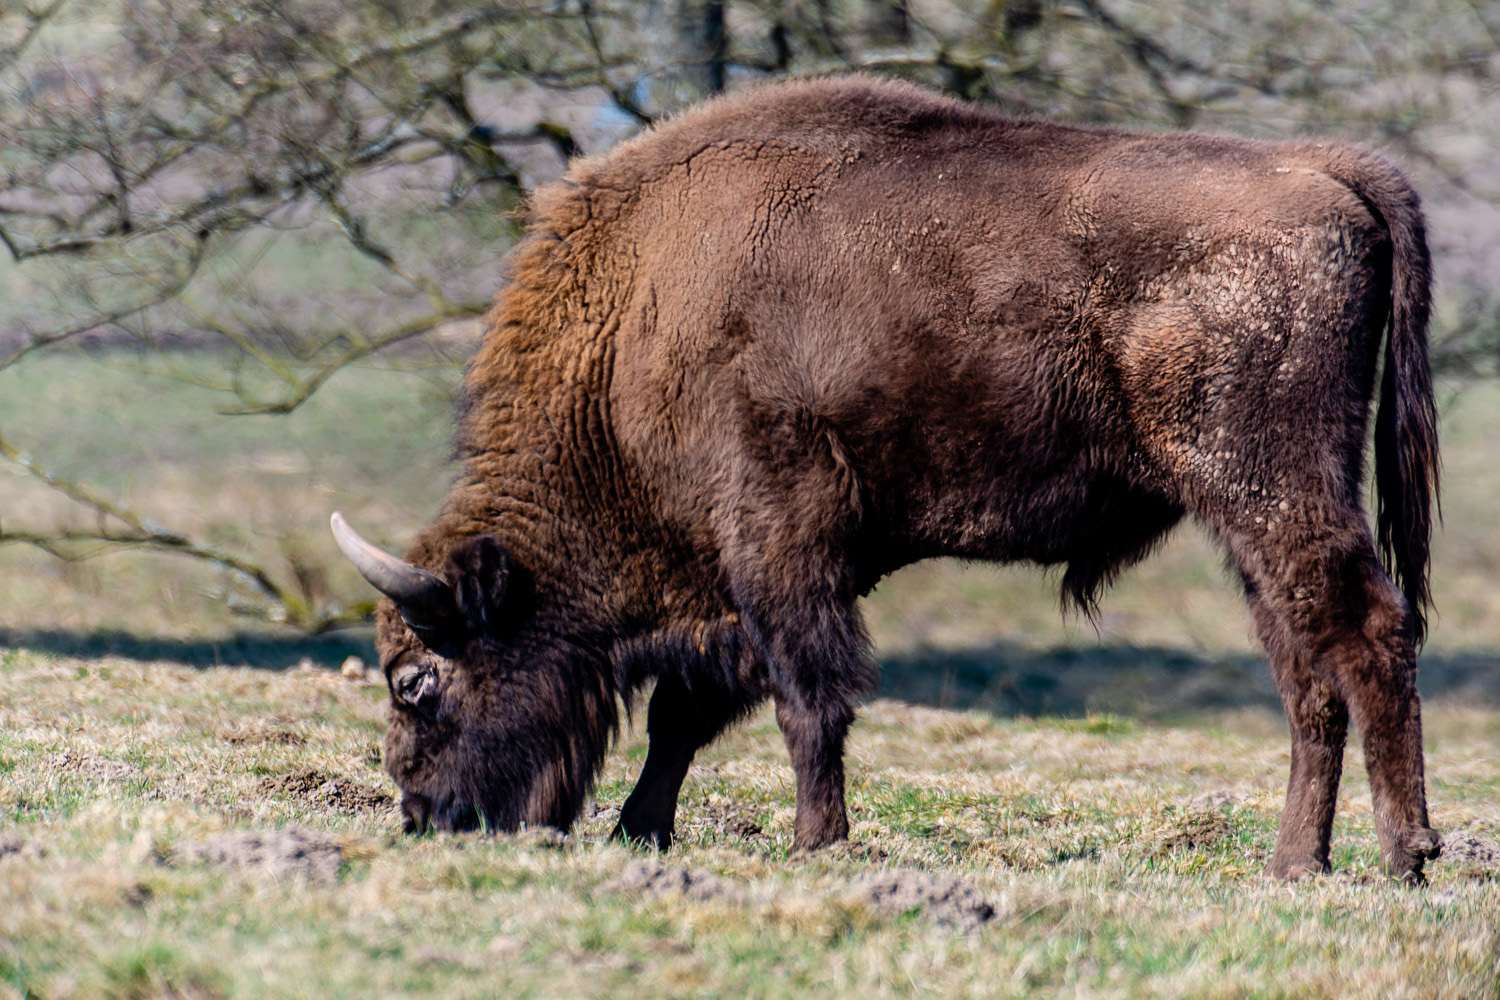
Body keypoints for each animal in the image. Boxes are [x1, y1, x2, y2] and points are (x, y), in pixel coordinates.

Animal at [331, 74, 1440, 881]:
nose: (424, 815)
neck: (635, 321)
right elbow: (690, 709)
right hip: (1250, 523)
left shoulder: (779, 543)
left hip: (1274, 489)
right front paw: (641, 832)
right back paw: (1296, 864)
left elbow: (805, 700)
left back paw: (1405, 854)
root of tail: (1325, 169)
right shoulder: (755, 578)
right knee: (1306, 672)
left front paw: (816, 842)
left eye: (416, 680)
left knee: (1369, 631)